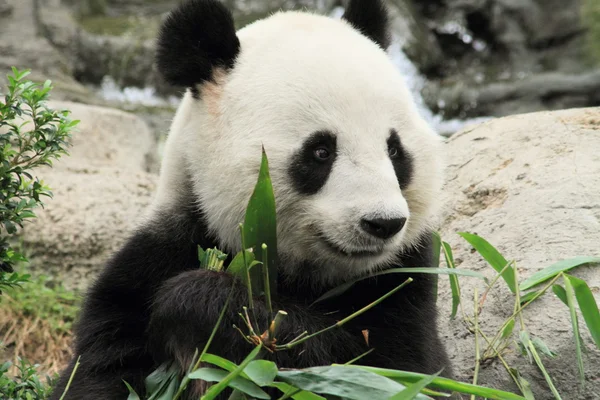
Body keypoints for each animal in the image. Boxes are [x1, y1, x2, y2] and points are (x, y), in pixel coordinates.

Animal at [52, 0, 450, 398]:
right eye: (321, 151)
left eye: (395, 150)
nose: (383, 223)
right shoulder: (158, 256)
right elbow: (102, 366)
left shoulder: (404, 280)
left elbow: (385, 371)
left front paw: (194, 302)